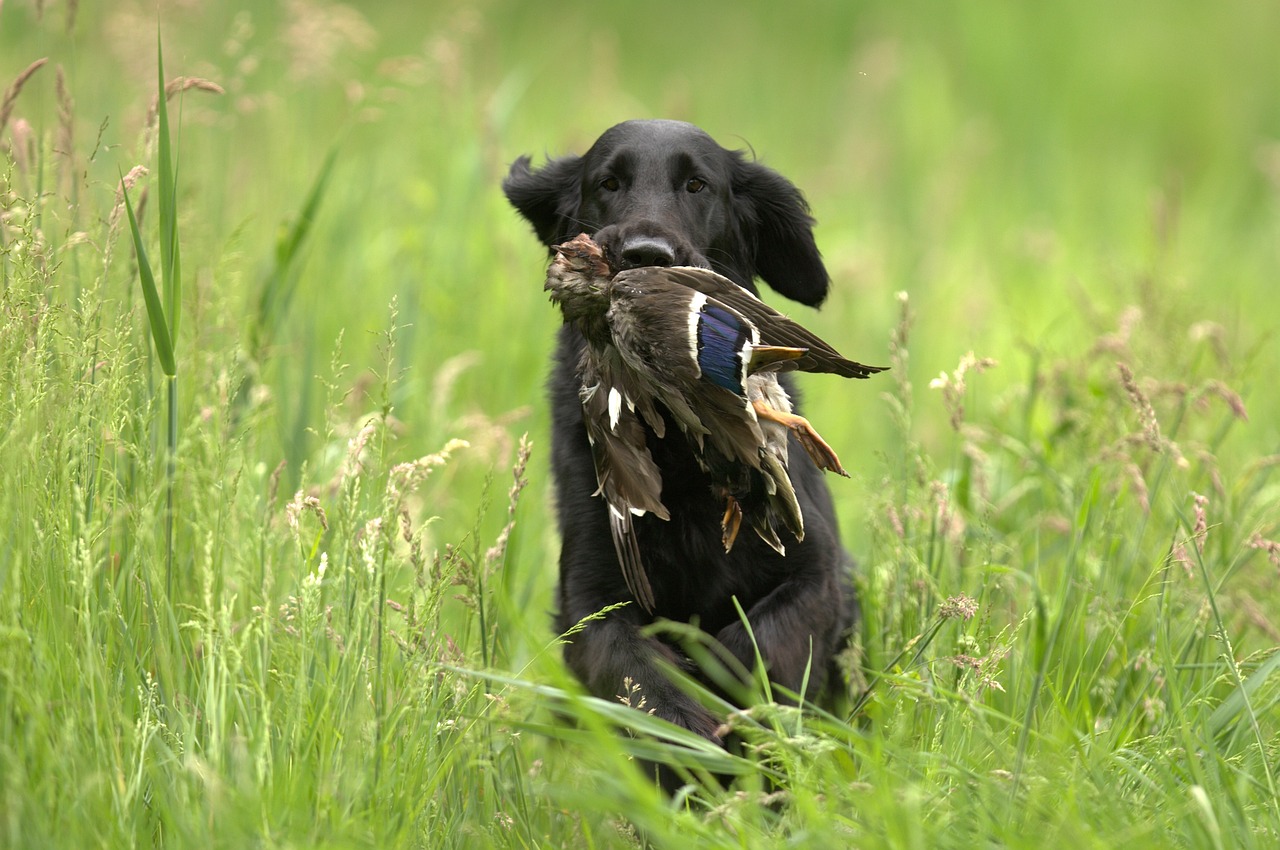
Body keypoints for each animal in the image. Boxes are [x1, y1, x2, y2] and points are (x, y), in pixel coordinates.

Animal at [504, 117, 855, 757]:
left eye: (697, 185)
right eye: (608, 183)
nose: (645, 255)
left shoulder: (815, 572)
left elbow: (756, 646)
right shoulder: (591, 597)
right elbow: (636, 671)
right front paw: (687, 736)